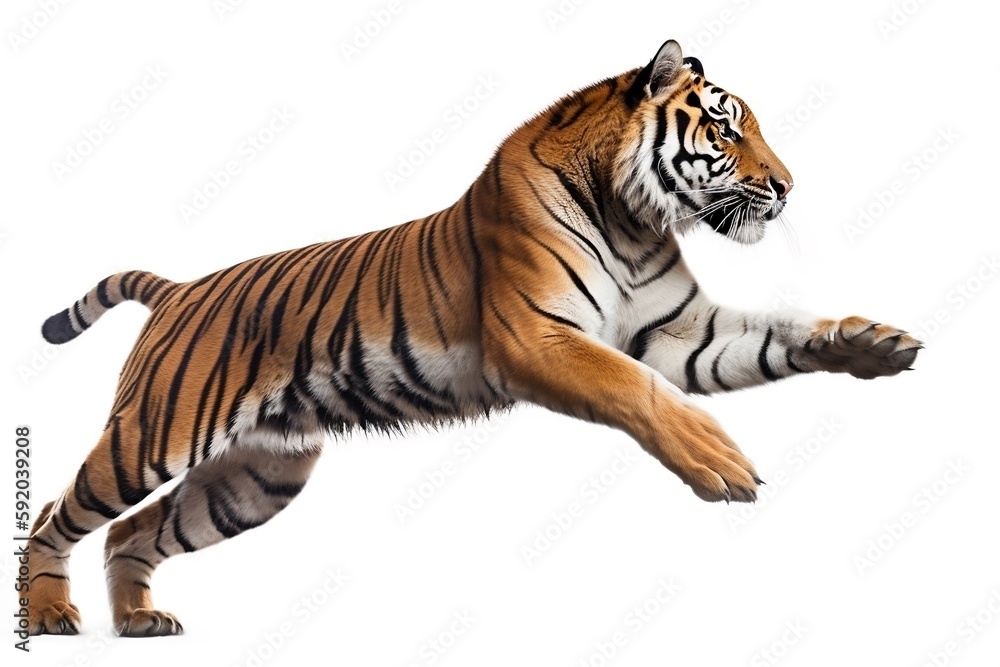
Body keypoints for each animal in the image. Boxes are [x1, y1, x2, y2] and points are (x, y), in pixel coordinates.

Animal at [26, 39, 921, 637]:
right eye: (729, 131)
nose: (787, 187)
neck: (636, 220)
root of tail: (180, 289)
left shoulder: (678, 331)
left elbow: (778, 330)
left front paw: (868, 342)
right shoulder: (537, 337)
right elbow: (638, 390)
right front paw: (719, 460)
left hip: (258, 477)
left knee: (132, 533)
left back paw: (138, 620)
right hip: (153, 436)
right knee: (57, 513)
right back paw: (50, 612)